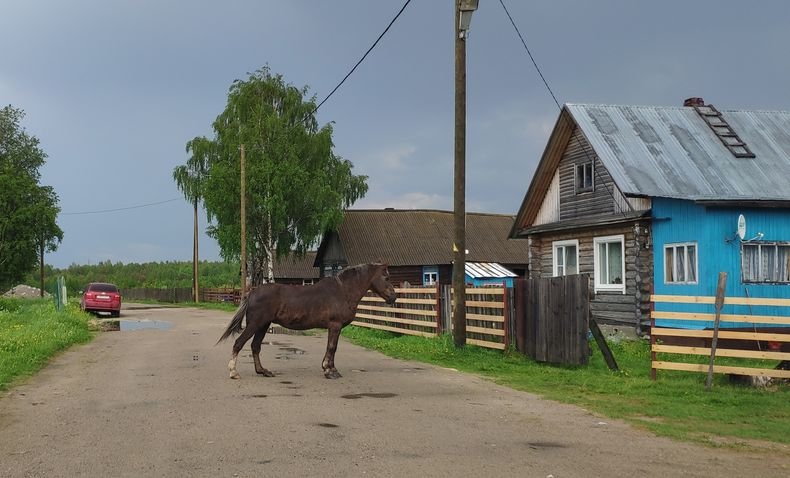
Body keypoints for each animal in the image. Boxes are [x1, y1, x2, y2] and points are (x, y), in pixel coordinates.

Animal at [215, 264, 396, 380]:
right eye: (386, 277)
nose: (394, 297)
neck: (342, 291)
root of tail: (252, 292)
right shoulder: (335, 325)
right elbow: (332, 347)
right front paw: (330, 371)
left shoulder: (333, 327)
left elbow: (331, 347)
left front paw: (328, 368)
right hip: (255, 325)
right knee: (239, 343)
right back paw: (234, 373)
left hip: (263, 326)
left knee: (255, 346)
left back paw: (263, 371)